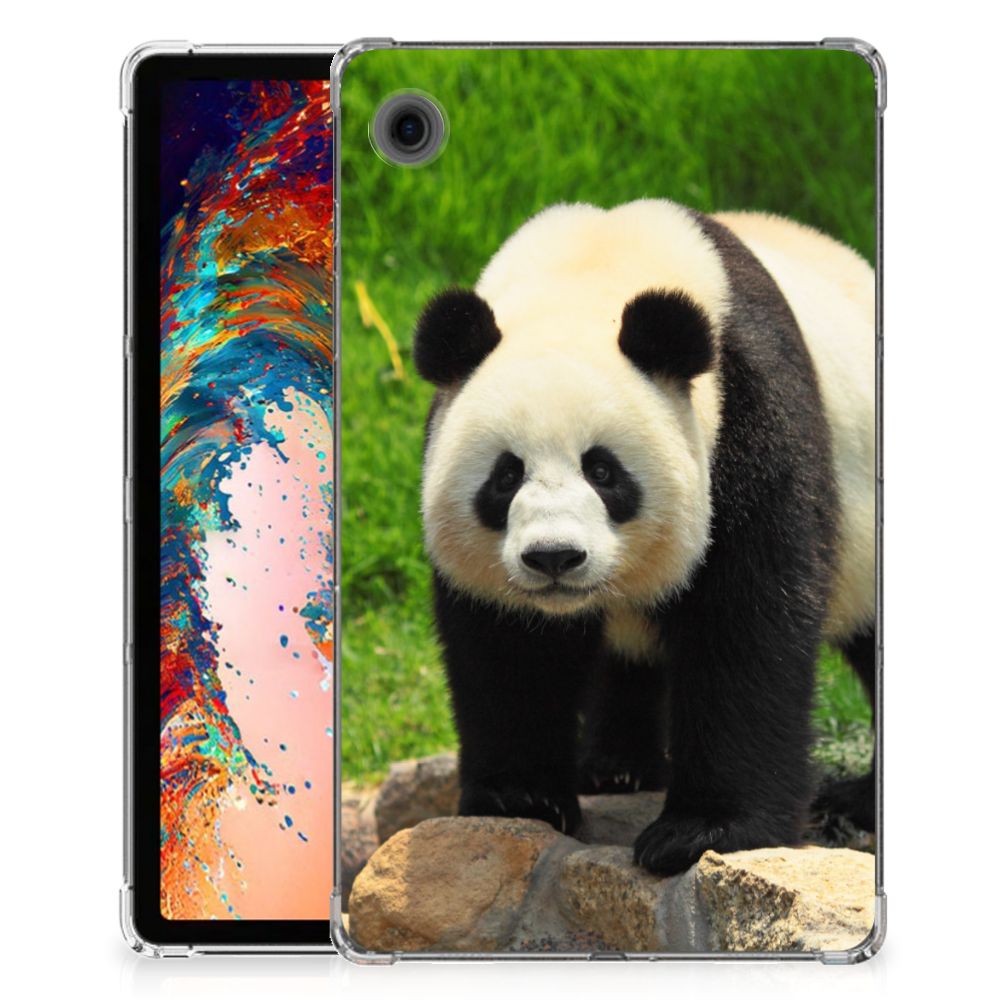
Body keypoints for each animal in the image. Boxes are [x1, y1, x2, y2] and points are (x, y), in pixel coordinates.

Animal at [412, 199, 876, 876]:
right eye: (506, 475)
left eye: (603, 471)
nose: (555, 557)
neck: (591, 272)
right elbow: (509, 647)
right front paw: (519, 798)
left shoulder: (749, 418)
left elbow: (747, 623)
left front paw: (702, 831)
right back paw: (616, 768)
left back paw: (856, 801)